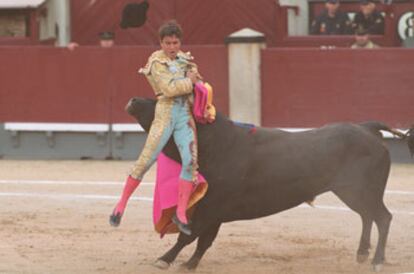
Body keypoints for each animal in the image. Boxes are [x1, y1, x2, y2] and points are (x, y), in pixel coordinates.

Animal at [124, 97, 412, 270]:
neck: (217, 143)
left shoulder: (212, 206)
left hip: (361, 191)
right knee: (368, 216)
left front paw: (165, 260)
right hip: (354, 192)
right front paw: (190, 263)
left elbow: (190, 234)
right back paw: (364, 254)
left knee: (382, 217)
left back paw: (376, 260)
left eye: (165, 104)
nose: (134, 100)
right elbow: (203, 240)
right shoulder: (214, 210)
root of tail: (367, 128)